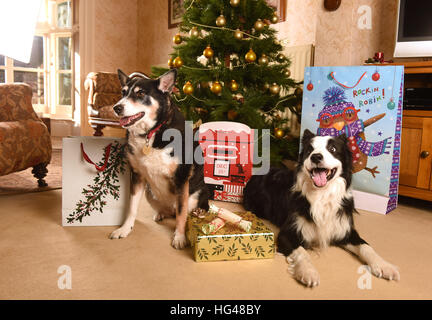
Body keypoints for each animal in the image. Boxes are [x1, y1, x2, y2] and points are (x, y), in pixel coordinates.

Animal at [109, 69, 208, 250]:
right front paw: (125, 229)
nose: (117, 107)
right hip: (150, 193)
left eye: (140, 93)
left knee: (186, 210)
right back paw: (160, 213)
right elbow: (132, 207)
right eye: (123, 92)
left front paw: (179, 237)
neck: (152, 132)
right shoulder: (137, 175)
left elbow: (182, 213)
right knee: (168, 211)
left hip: (196, 195)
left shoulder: (181, 179)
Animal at [245, 130, 400, 288]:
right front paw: (308, 272)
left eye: (333, 149)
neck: (322, 194)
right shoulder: (287, 234)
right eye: (309, 150)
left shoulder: (345, 230)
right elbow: (302, 252)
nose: (316, 156)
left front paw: (384, 265)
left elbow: (366, 246)